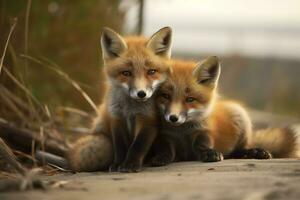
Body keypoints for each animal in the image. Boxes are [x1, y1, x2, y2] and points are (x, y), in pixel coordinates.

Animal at [67, 27, 171, 172]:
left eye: (151, 72)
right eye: (126, 73)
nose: (141, 94)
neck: (130, 109)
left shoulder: (148, 120)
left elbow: (137, 146)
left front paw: (131, 164)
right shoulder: (116, 118)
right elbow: (120, 146)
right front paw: (118, 164)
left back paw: (162, 158)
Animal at [150, 56, 300, 166]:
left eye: (190, 99)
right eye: (165, 96)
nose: (173, 118)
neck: (182, 132)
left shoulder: (204, 132)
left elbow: (202, 145)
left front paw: (209, 153)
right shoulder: (164, 136)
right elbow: (165, 149)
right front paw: (161, 157)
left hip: (240, 115)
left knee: (237, 151)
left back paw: (254, 152)